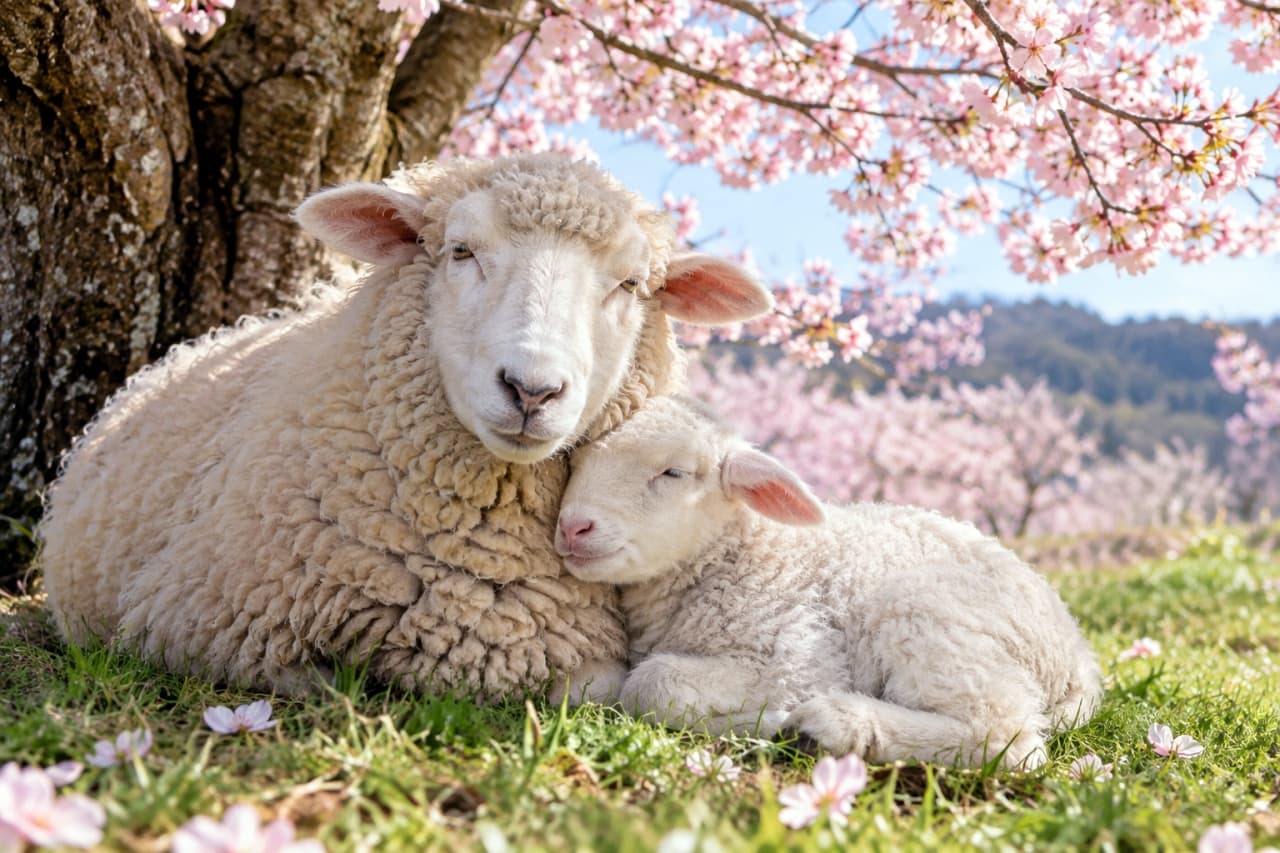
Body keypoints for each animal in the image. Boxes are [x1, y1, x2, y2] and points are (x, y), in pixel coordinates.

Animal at [39, 154, 774, 700]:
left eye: (629, 285)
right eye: (460, 251)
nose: (531, 389)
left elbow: (594, 688)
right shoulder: (199, 623)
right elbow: (316, 682)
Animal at [554, 396, 1103, 769]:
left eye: (674, 472)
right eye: (576, 462)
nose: (573, 526)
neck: (745, 555)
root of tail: (1077, 661)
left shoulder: (798, 661)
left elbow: (651, 683)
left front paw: (762, 722)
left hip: (928, 612)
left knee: (1006, 736)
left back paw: (831, 726)